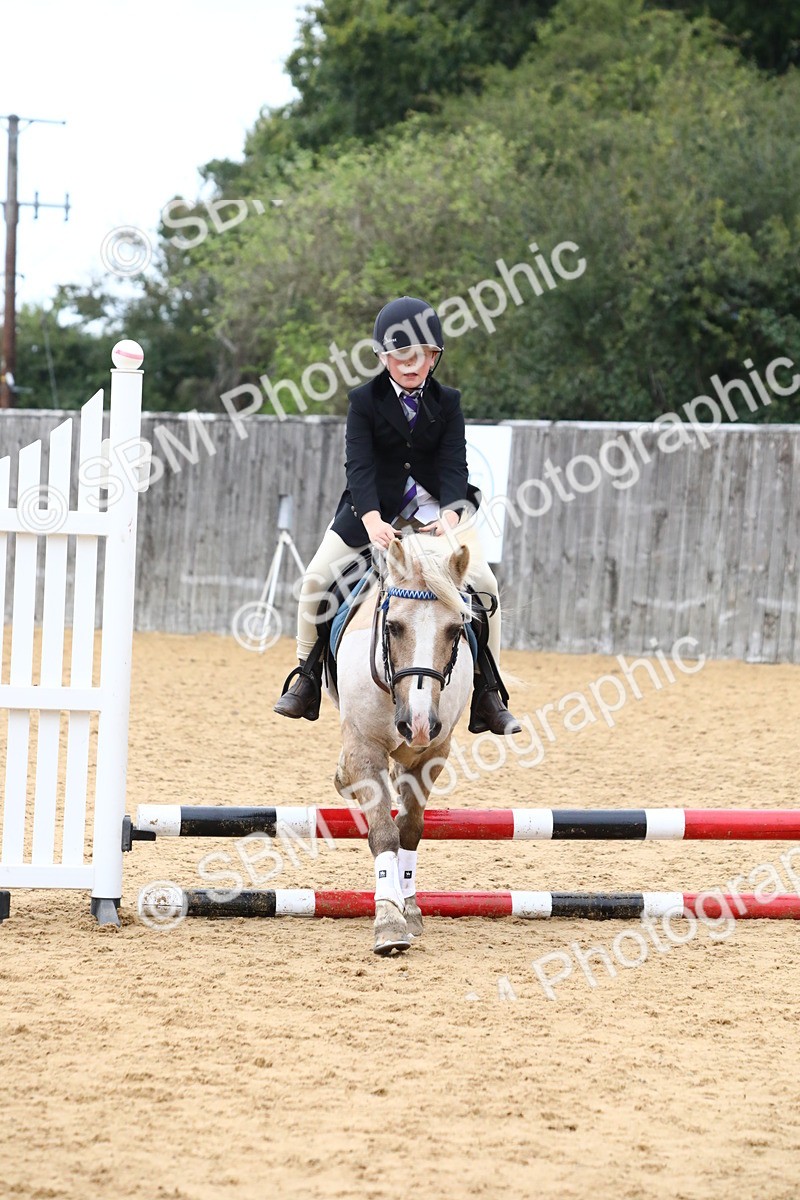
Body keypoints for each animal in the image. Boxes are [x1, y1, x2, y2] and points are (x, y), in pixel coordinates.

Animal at [329, 528, 476, 955]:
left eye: (455, 629)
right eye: (393, 627)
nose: (420, 723)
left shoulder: (433, 753)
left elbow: (409, 828)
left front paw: (408, 908)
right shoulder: (364, 748)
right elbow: (383, 832)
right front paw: (389, 922)